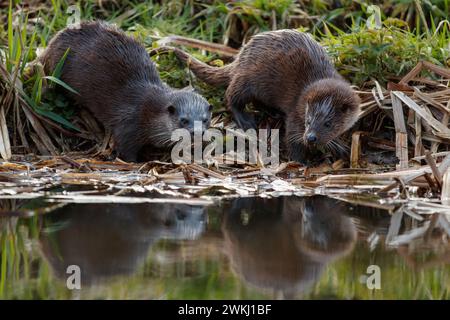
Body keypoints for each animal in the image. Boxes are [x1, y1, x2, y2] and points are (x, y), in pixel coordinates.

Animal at [39, 21, 213, 162]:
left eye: (205, 120)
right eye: (183, 120)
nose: (198, 132)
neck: (148, 113)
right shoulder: (128, 125)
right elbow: (125, 151)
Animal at [153, 29, 360, 164]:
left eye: (328, 124)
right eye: (308, 120)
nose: (311, 138)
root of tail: (239, 57)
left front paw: (338, 146)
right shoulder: (296, 111)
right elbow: (292, 137)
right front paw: (302, 161)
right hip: (248, 79)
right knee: (231, 96)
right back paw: (246, 120)